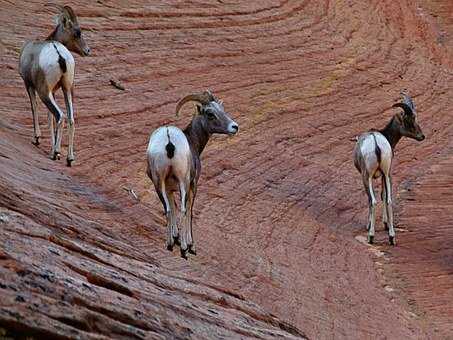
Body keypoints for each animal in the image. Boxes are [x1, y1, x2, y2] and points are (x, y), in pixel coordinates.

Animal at [18, 4, 90, 165]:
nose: (88, 51)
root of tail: (59, 55)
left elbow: (35, 108)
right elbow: (49, 117)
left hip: (44, 92)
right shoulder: (55, 91)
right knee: (70, 119)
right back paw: (69, 158)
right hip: (67, 89)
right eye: (77, 32)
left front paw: (38, 139)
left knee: (60, 116)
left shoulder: (29, 85)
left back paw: (56, 152)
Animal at [147, 89, 240, 258]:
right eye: (210, 113)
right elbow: (189, 210)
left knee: (167, 209)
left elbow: (173, 207)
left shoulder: (169, 188)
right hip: (183, 181)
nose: (234, 127)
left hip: (158, 182)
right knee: (184, 210)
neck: (192, 141)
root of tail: (168, 139)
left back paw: (169, 244)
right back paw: (184, 249)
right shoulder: (193, 184)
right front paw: (190, 245)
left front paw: (176, 238)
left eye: (222, 110)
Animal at [354, 92, 424, 244]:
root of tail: (376, 144)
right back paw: (392, 237)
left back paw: (371, 236)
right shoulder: (384, 174)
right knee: (389, 200)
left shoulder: (374, 176)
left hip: (367, 176)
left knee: (372, 200)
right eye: (409, 120)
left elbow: (374, 198)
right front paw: (386, 225)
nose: (422, 136)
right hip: (387, 175)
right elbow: (384, 195)